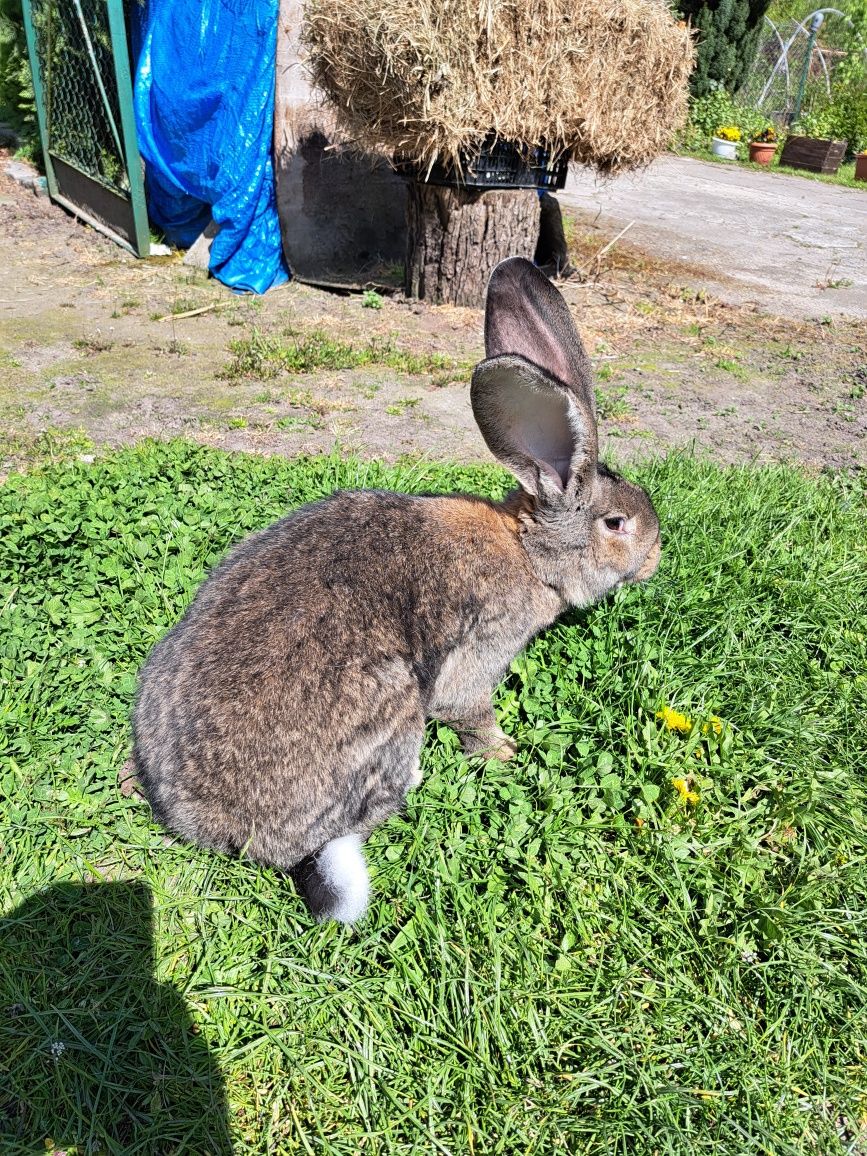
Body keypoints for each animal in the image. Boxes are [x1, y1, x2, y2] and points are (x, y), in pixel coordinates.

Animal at [127, 255, 656, 920]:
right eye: (615, 524)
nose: (656, 554)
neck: (529, 551)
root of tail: (226, 829)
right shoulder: (476, 660)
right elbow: (470, 712)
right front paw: (506, 751)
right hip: (393, 713)